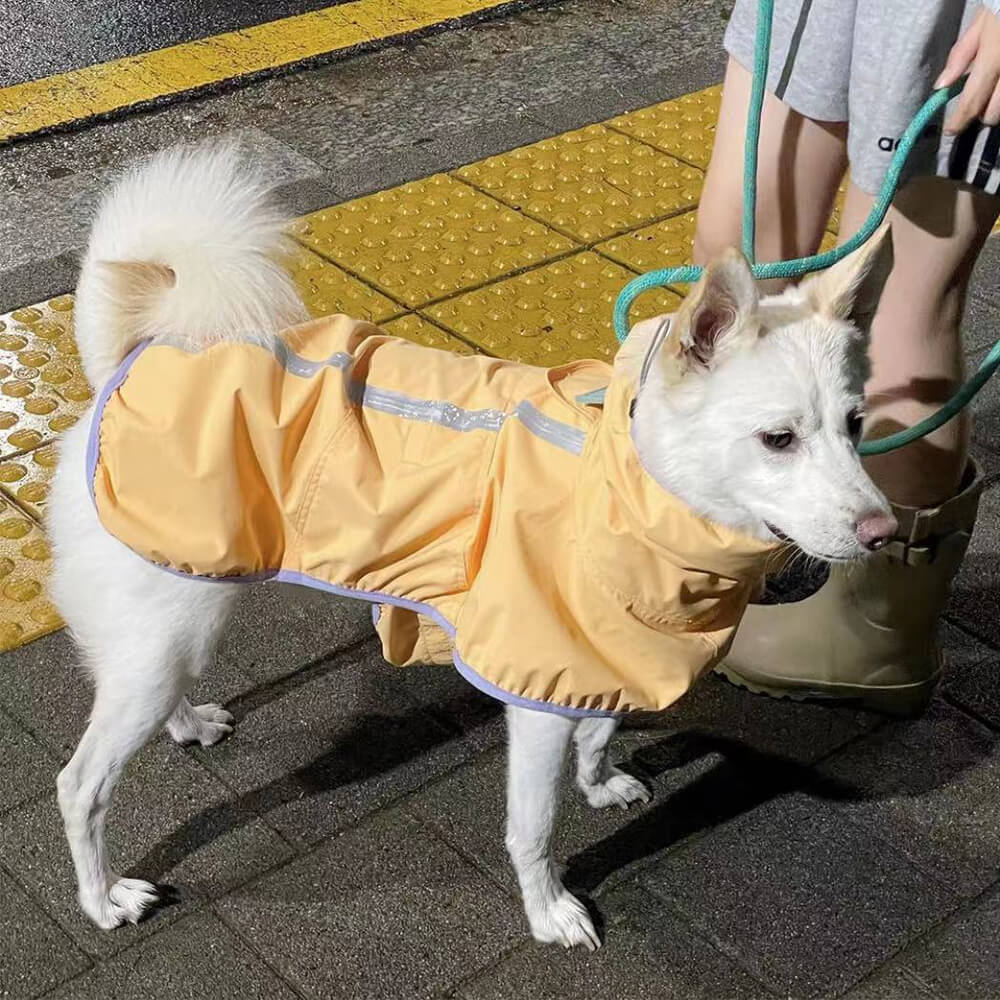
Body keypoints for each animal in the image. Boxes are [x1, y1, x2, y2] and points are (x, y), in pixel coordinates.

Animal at [47, 141, 896, 944]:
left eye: (858, 424)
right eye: (778, 439)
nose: (883, 532)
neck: (630, 486)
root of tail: (127, 360)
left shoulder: (601, 659)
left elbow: (601, 732)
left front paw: (600, 784)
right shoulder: (537, 694)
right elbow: (534, 828)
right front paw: (550, 911)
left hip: (185, 609)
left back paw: (187, 726)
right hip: (167, 624)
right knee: (81, 786)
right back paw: (101, 900)